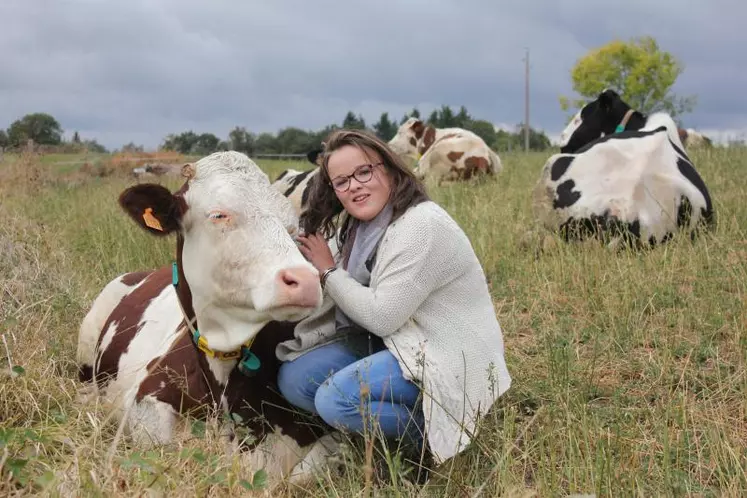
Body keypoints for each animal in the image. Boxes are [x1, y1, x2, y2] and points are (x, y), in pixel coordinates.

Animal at [74, 152, 344, 486]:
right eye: (218, 215)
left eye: (292, 226)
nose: (305, 279)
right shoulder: (146, 394)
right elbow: (157, 447)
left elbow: (304, 474)